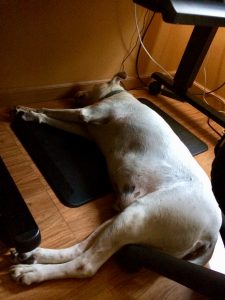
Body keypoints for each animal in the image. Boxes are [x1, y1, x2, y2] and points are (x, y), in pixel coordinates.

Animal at [10, 71, 221, 284]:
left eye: (93, 85)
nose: (75, 93)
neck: (119, 93)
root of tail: (211, 235)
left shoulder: (86, 113)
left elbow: (52, 109)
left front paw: (28, 110)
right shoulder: (85, 129)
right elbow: (52, 118)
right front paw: (32, 115)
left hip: (136, 216)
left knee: (85, 265)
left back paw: (33, 272)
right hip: (122, 219)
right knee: (80, 248)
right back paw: (33, 255)